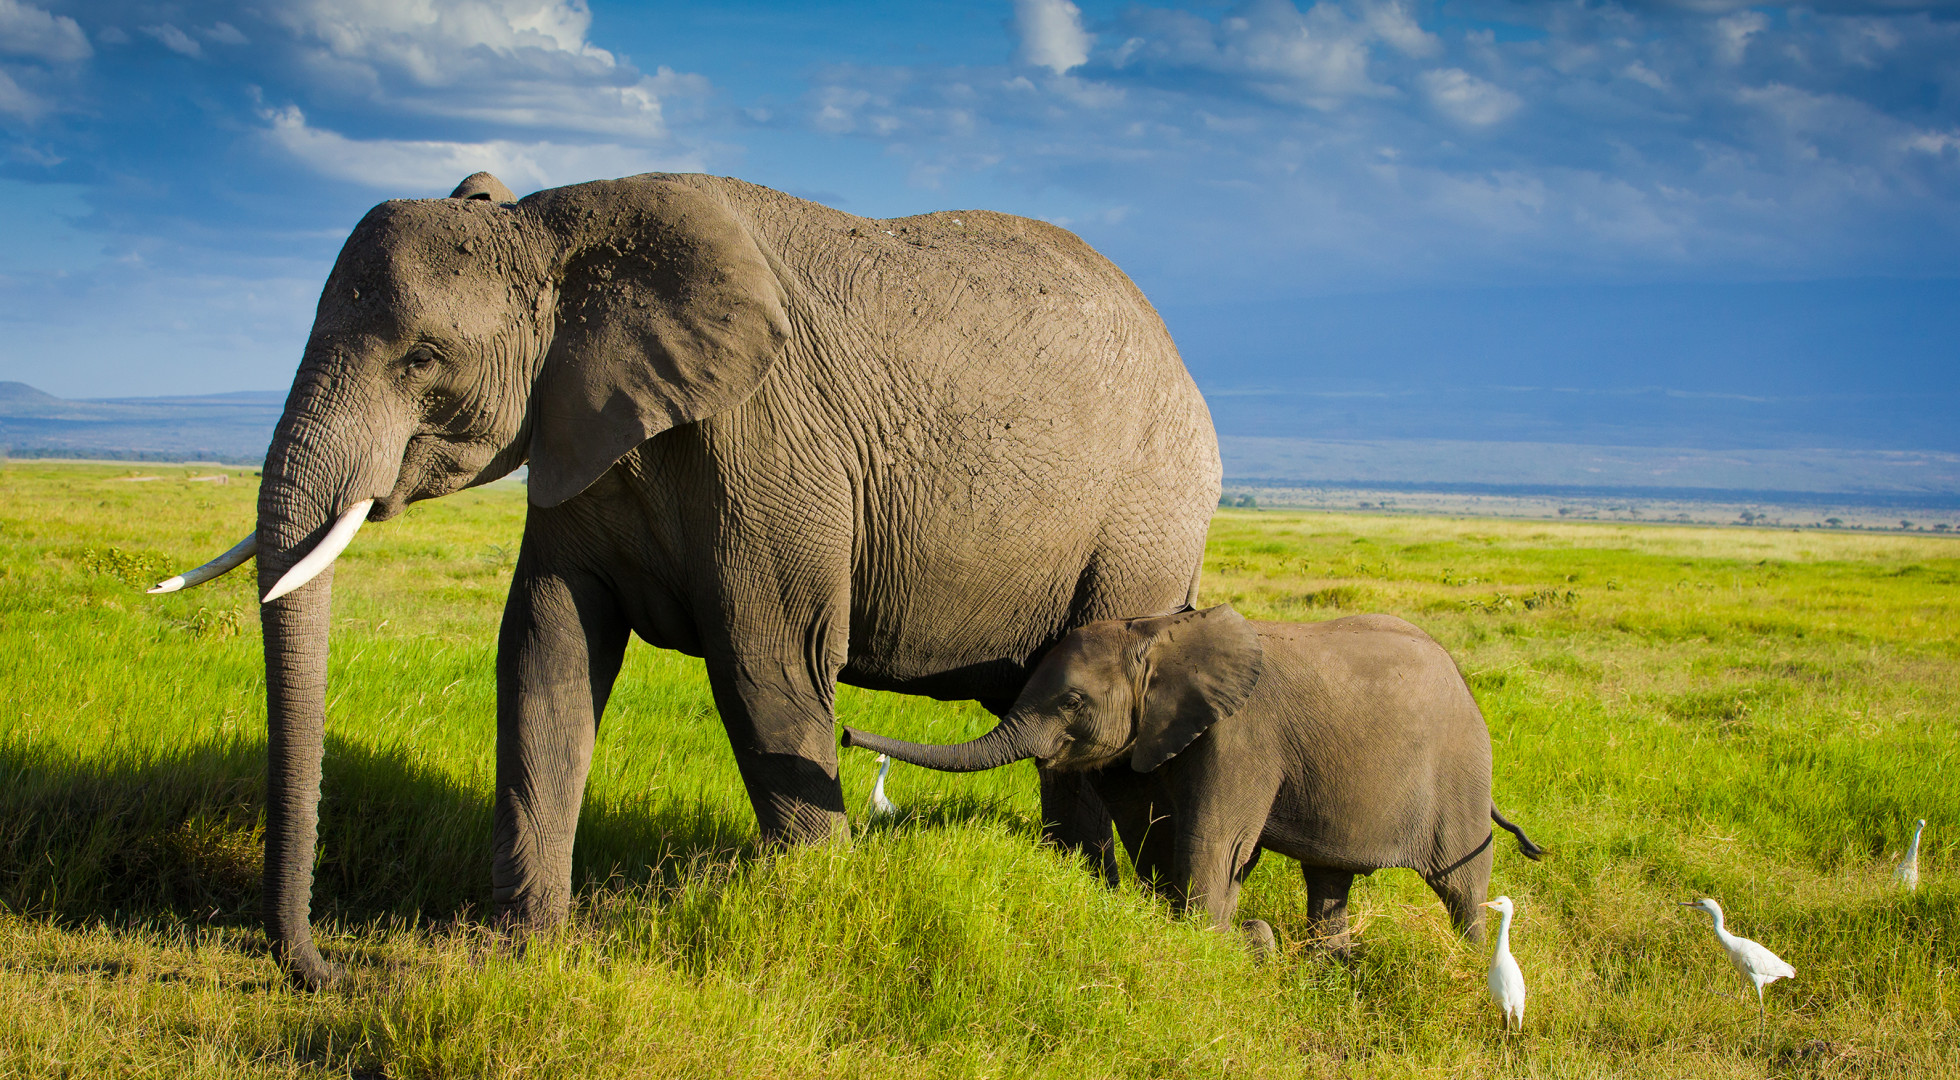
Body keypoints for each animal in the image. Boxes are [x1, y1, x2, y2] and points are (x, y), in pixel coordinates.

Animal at [154, 171, 1221, 988]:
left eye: (423, 357)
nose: (327, 968)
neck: (551, 226)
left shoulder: (770, 438)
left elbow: (766, 668)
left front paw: (817, 914)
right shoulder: (579, 430)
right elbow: (545, 653)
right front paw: (525, 953)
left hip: (1144, 518)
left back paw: (1097, 898)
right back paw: (1086, 891)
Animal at [843, 606, 1545, 950]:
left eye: (1071, 701)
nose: (847, 734)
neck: (1157, 634)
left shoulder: (1239, 736)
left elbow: (1213, 844)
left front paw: (1220, 944)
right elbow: (1160, 836)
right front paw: (1228, 938)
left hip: (1461, 777)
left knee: (1461, 888)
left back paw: (1471, 968)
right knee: (1329, 881)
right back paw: (1334, 969)